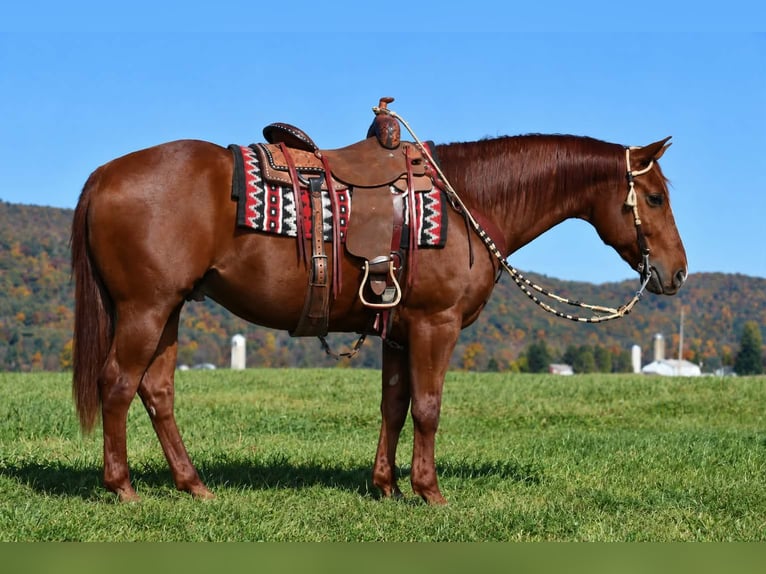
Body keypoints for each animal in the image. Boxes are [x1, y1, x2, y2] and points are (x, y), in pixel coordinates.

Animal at [71, 127, 687, 504]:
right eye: (655, 198)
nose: (677, 272)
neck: (466, 201)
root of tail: (103, 173)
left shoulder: (399, 330)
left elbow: (394, 406)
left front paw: (386, 485)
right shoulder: (436, 324)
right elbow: (429, 408)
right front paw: (430, 490)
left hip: (170, 308)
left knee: (157, 391)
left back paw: (192, 484)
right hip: (145, 308)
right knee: (117, 384)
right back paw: (122, 486)